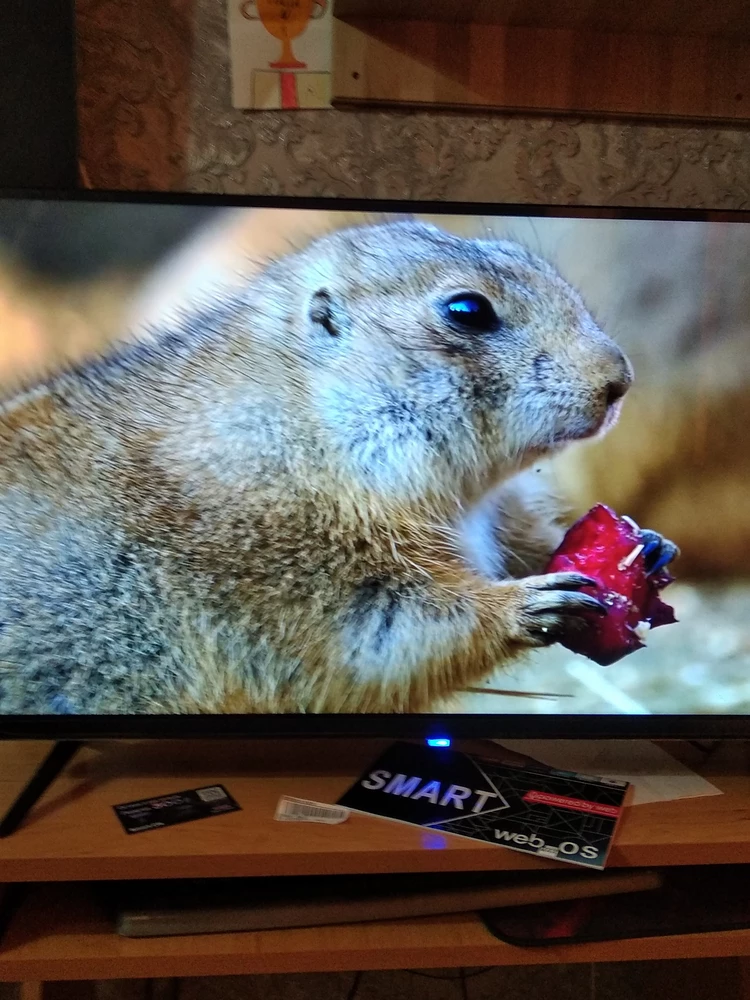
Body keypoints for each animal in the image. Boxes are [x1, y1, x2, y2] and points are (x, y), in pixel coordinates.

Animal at [0, 220, 676, 716]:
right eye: (467, 310)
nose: (619, 380)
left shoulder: (494, 512)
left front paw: (646, 545)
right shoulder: (294, 569)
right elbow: (396, 632)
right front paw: (533, 603)